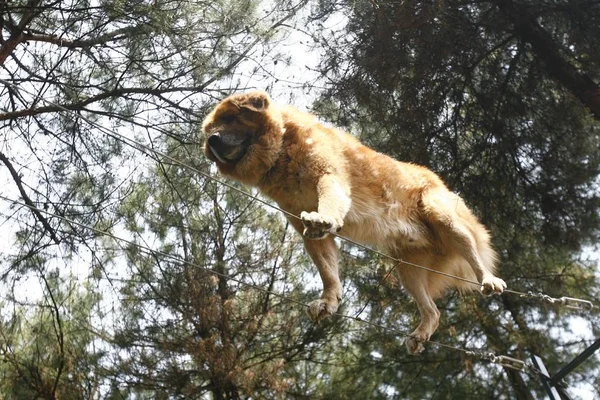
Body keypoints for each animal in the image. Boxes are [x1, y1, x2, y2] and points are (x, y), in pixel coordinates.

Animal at [203, 90, 506, 354]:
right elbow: (328, 272)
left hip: (442, 217)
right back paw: (420, 333)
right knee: (433, 311)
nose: (212, 141)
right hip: (407, 269)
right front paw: (329, 301)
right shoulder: (309, 232)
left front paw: (324, 216)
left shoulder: (328, 176)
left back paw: (489, 279)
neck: (281, 153)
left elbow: (329, 205)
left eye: (229, 118)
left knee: (472, 250)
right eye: (209, 131)